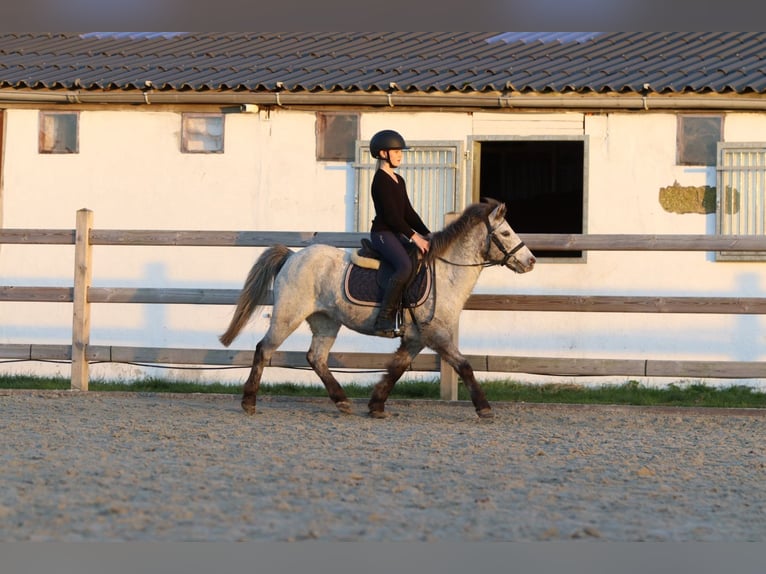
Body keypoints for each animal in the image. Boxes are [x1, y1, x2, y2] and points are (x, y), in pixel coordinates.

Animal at [219, 198, 536, 419]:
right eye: (506, 233)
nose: (531, 261)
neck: (446, 274)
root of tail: (293, 256)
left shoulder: (416, 337)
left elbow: (397, 368)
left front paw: (376, 405)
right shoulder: (437, 334)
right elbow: (465, 366)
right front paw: (484, 408)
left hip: (326, 321)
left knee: (316, 358)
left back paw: (342, 401)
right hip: (288, 315)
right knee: (264, 349)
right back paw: (249, 403)